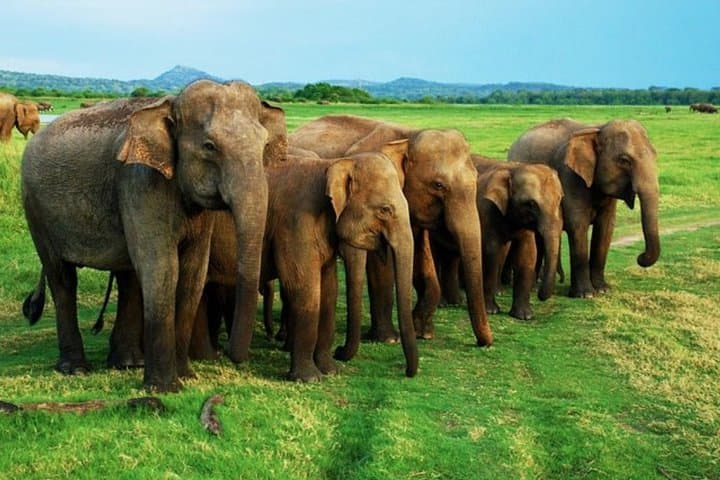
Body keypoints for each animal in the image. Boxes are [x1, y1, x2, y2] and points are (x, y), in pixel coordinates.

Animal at [21, 80, 282, 392]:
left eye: (264, 145)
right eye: (209, 146)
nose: (230, 356)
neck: (170, 104)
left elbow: (193, 273)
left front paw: (186, 377)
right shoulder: (140, 181)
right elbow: (162, 268)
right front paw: (165, 388)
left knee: (128, 278)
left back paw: (127, 364)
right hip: (35, 209)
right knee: (62, 278)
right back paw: (76, 369)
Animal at [289, 115, 492, 348]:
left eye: (476, 178)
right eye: (438, 185)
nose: (484, 344)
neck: (409, 136)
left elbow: (421, 256)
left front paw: (422, 332)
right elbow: (381, 262)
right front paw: (389, 339)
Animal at [430, 155, 564, 320]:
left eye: (559, 199)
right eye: (532, 204)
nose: (540, 296)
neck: (513, 169)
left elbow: (527, 254)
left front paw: (524, 316)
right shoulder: (486, 210)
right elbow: (491, 252)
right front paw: (491, 311)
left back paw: (455, 302)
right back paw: (442, 304)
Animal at [508, 118, 660, 298]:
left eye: (655, 155)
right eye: (624, 160)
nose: (640, 257)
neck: (598, 129)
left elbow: (606, 227)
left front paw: (603, 289)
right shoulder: (570, 176)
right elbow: (578, 225)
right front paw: (585, 295)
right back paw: (533, 287)